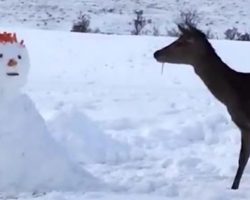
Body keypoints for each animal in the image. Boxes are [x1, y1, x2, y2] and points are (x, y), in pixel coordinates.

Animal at [153, 23, 250, 189]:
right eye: (177, 38)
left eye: (181, 42)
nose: (156, 53)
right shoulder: (243, 125)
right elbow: (242, 158)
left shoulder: (247, 124)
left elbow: (243, 159)